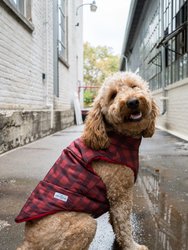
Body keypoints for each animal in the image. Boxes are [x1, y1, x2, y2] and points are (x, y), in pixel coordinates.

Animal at [15, 71, 158, 249]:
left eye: (134, 86)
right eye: (113, 95)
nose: (132, 102)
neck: (114, 137)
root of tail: (27, 242)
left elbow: (116, 223)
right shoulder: (120, 193)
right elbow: (125, 225)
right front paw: (132, 246)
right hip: (86, 224)